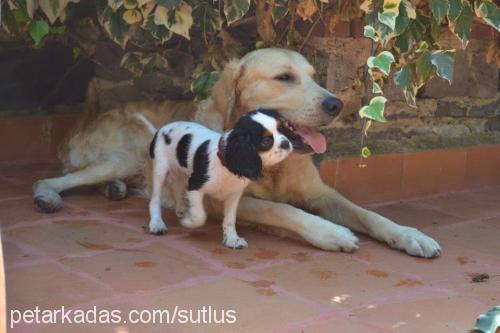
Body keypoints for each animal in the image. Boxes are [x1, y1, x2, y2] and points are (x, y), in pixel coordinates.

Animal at [148, 110, 292, 248]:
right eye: (266, 141)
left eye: (281, 129)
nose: (286, 143)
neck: (226, 166)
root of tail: (161, 129)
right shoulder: (195, 185)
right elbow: (200, 215)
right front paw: (189, 222)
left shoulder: (233, 195)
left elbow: (230, 219)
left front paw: (232, 239)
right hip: (160, 169)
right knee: (155, 199)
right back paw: (157, 224)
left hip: (182, 173)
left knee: (177, 188)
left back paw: (181, 209)